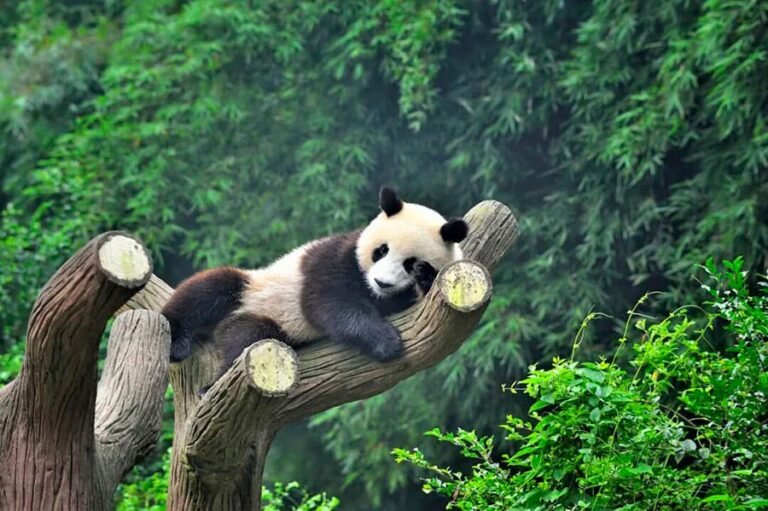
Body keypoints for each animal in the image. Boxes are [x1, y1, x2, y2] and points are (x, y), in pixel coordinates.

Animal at [162, 186, 469, 377]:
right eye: (381, 250)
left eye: (409, 263)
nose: (382, 282)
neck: (371, 291)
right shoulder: (333, 258)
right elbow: (328, 303)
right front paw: (387, 342)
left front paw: (424, 277)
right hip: (254, 289)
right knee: (209, 290)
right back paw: (182, 347)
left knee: (248, 334)